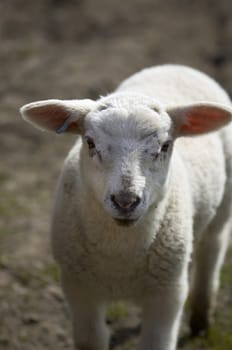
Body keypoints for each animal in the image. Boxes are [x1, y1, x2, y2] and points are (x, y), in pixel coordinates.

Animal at [20, 65, 232, 350]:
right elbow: (91, 339)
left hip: (221, 210)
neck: (119, 252)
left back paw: (201, 321)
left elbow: (156, 342)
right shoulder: (78, 288)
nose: (125, 201)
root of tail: (175, 66)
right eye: (90, 143)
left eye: (165, 146)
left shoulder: (168, 293)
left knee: (212, 251)